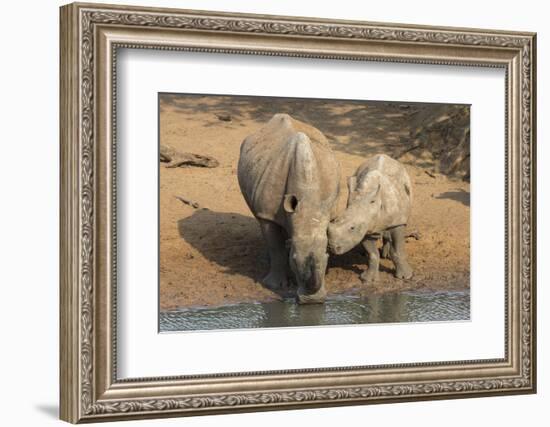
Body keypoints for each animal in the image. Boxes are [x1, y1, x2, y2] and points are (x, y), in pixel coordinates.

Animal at [237, 114, 340, 304]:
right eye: (294, 259)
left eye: (327, 257)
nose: (312, 301)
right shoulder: (267, 214)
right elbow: (275, 245)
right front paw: (275, 286)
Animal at [328, 155, 414, 284]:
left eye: (352, 228)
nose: (333, 248)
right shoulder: (365, 226)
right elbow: (372, 253)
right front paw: (368, 279)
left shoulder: (398, 222)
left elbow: (397, 250)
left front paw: (406, 276)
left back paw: (387, 255)